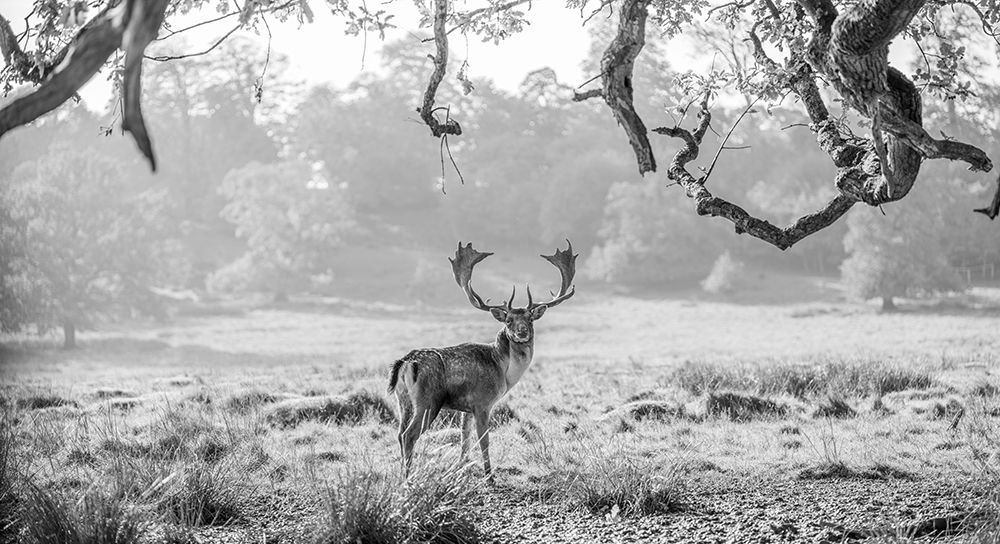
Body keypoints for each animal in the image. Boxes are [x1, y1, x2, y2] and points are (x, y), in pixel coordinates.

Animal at [387, 240, 577, 479]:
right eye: (508, 320)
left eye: (530, 319)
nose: (522, 331)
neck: (503, 372)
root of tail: (405, 363)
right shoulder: (482, 401)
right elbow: (484, 440)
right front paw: (489, 476)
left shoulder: (465, 408)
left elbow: (464, 439)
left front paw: (460, 468)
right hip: (428, 400)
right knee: (409, 435)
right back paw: (408, 477)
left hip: (402, 399)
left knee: (399, 433)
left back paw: (401, 474)